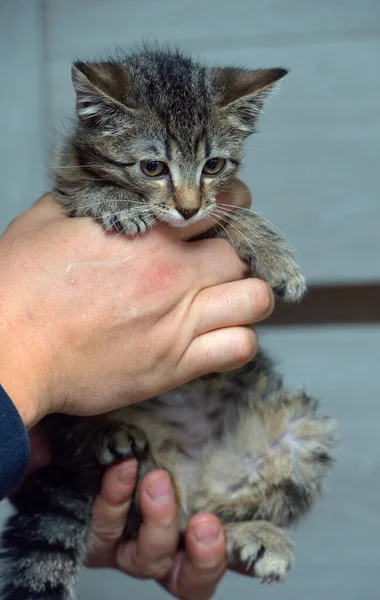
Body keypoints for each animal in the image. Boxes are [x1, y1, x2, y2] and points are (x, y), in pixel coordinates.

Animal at [1, 48, 336, 600]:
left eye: (213, 165)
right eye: (153, 167)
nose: (187, 207)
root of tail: (191, 480)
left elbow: (231, 214)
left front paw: (274, 254)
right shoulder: (63, 184)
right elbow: (88, 188)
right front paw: (116, 202)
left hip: (300, 432)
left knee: (203, 523)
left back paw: (253, 531)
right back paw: (107, 432)